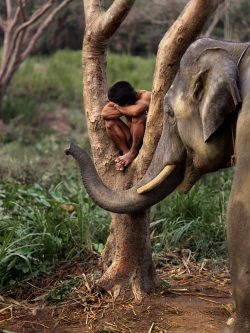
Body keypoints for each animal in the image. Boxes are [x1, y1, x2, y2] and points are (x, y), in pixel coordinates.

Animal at [66, 37, 250, 330]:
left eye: (170, 113)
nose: (68, 148)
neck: (233, 49)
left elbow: (240, 208)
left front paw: (233, 327)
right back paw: (124, 158)